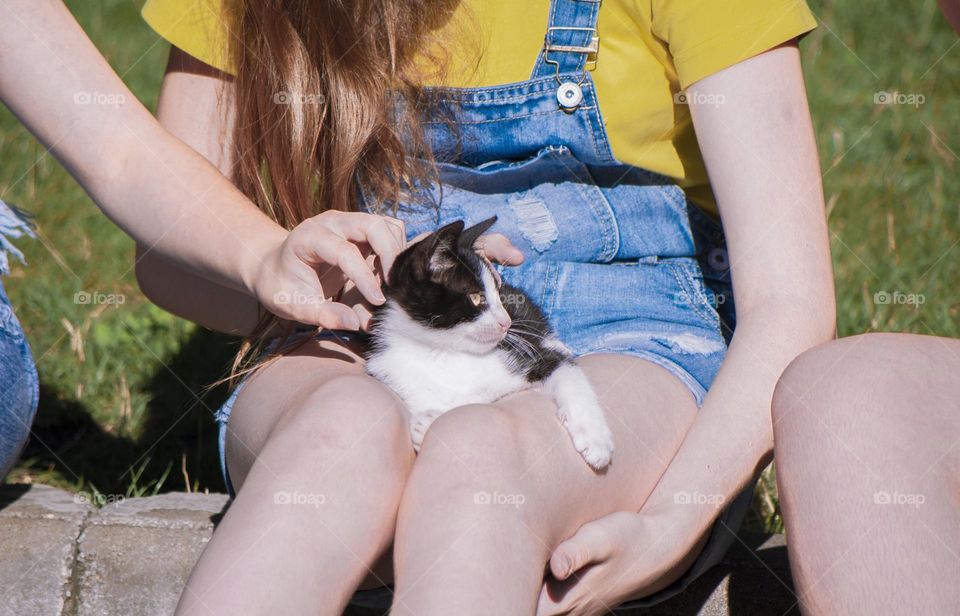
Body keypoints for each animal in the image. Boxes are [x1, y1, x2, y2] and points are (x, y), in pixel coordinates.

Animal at [364, 219, 612, 470]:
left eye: (499, 295)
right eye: (477, 298)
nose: (507, 322)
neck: (444, 352)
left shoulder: (532, 355)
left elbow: (570, 377)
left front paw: (595, 439)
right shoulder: (395, 374)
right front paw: (425, 422)